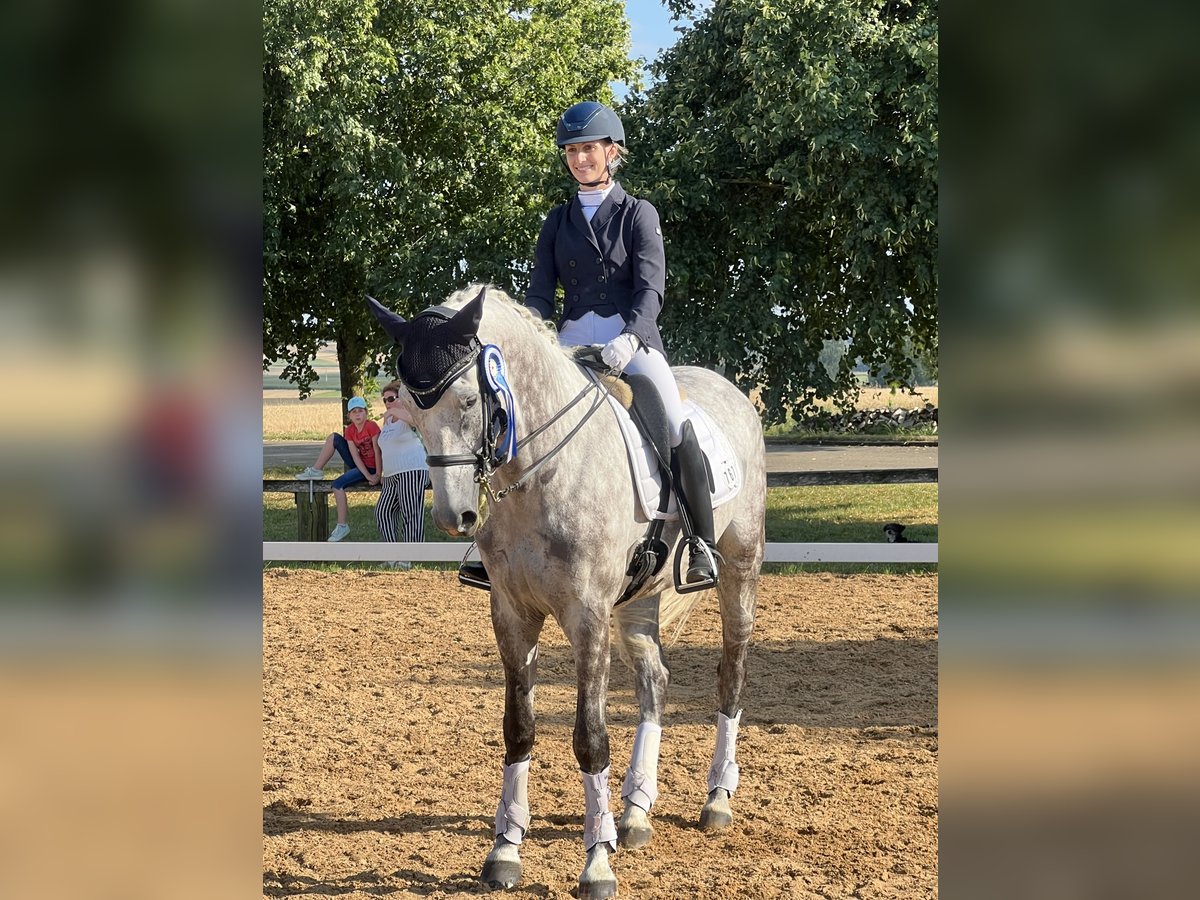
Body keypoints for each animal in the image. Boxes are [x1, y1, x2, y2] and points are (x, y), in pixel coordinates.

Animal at [364, 285, 763, 897]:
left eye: (468, 400)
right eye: (409, 407)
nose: (456, 516)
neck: (541, 471)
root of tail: (728, 391)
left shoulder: (587, 617)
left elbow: (589, 738)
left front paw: (597, 863)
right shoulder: (511, 613)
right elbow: (519, 729)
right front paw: (505, 850)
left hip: (739, 567)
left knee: (732, 670)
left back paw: (717, 798)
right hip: (638, 598)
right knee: (655, 680)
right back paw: (635, 810)